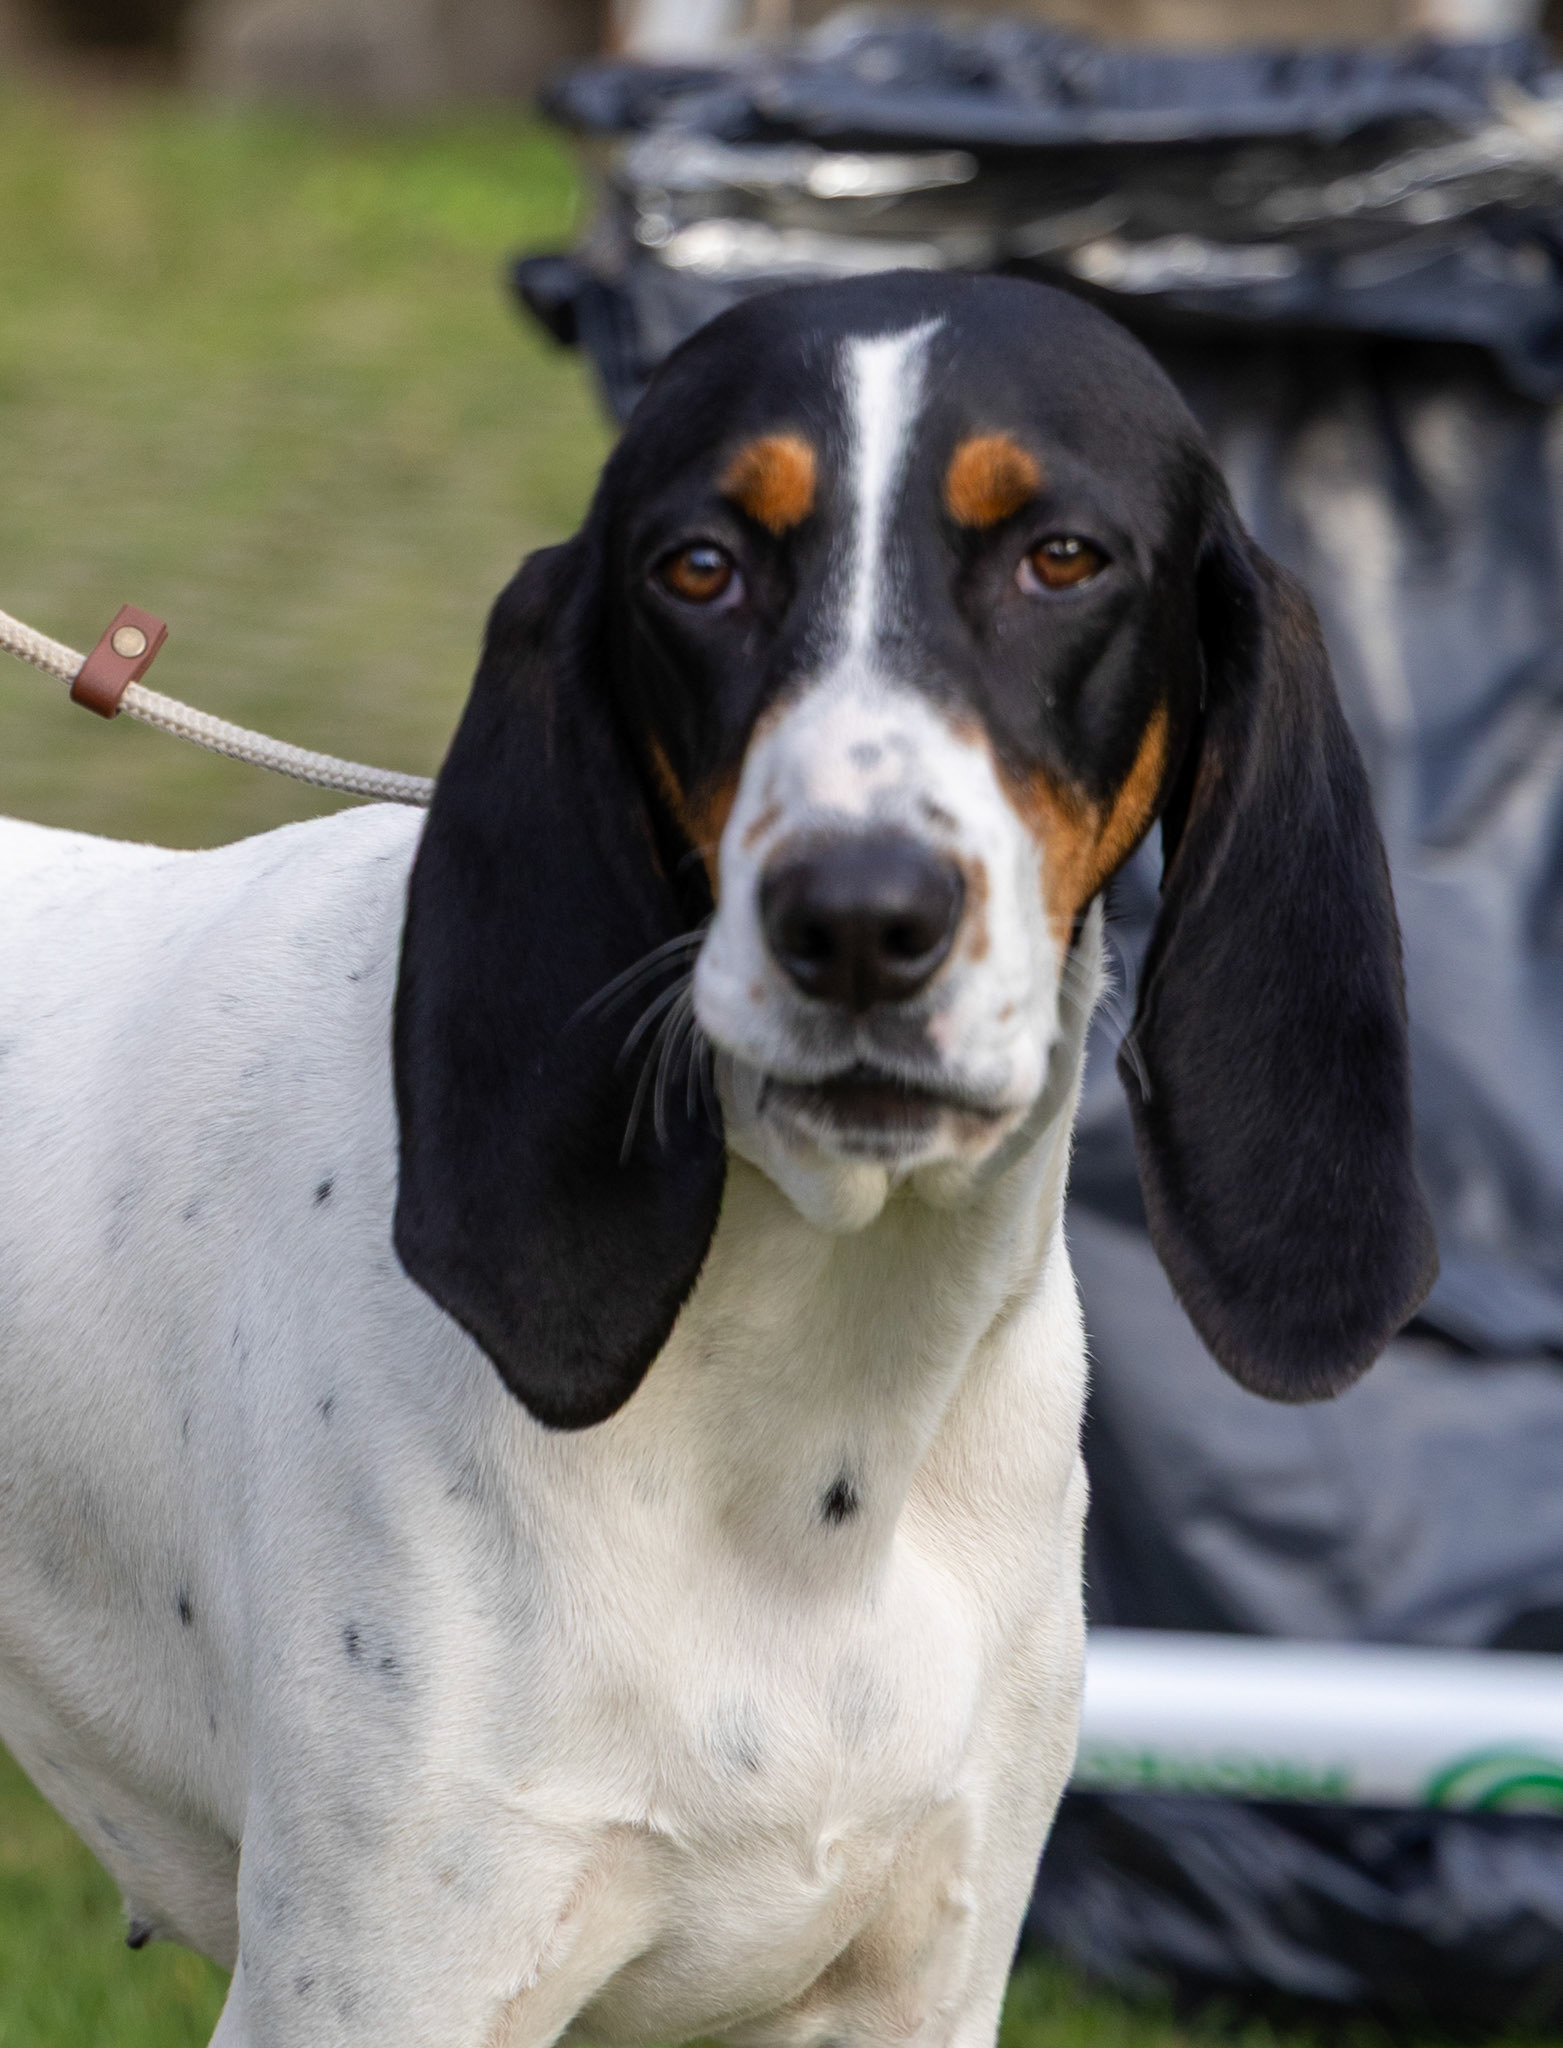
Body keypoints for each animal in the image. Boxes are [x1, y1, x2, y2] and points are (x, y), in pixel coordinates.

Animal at [0, 271, 1435, 2047]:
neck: (809, 1428)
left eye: (1060, 558)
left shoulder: (924, 1983)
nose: (858, 920)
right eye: (699, 568)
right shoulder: (375, 1983)